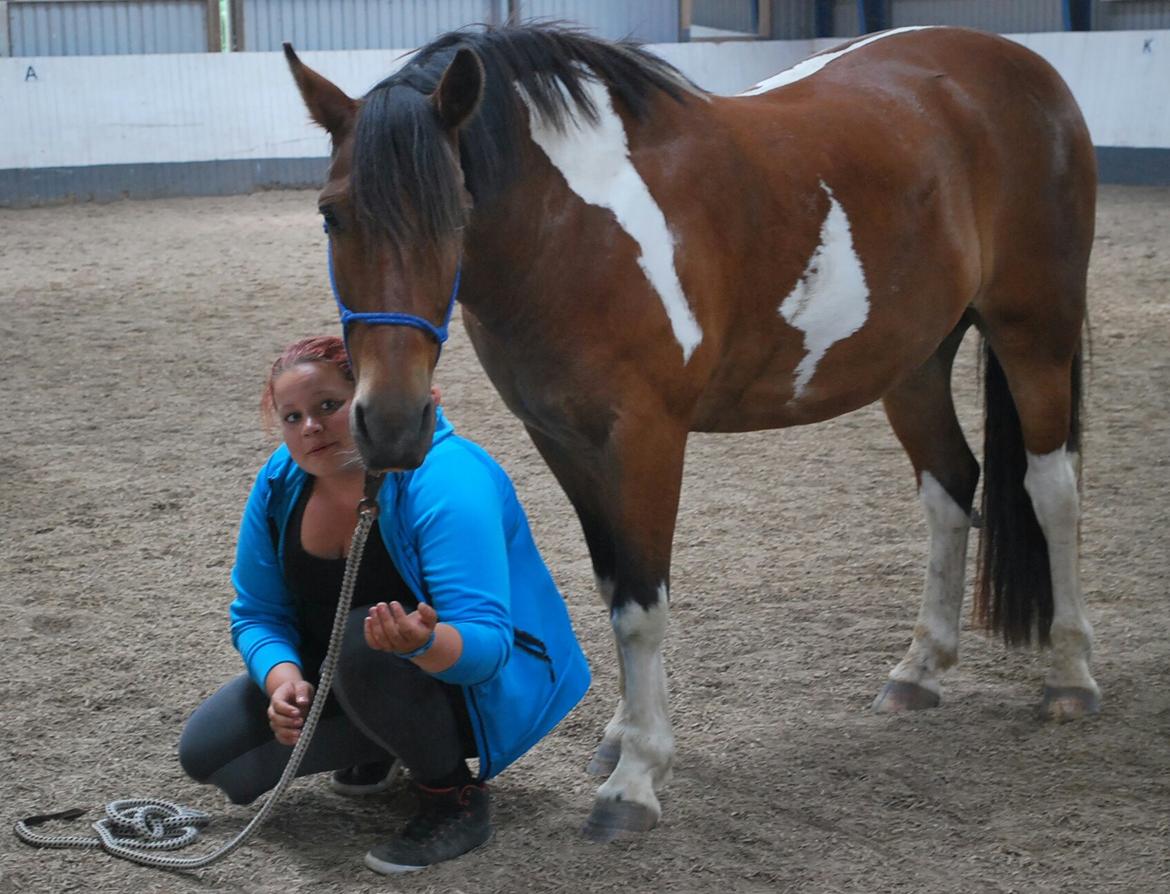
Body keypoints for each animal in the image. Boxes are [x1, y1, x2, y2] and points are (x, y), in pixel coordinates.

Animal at [283, 24, 1095, 842]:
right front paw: (622, 738)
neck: (571, 228)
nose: (391, 424)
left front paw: (636, 781)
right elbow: (614, 585)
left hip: (1034, 334)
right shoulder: (563, 440)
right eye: (331, 215)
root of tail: (1021, 65)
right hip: (917, 361)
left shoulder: (645, 437)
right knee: (950, 488)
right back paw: (919, 670)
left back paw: (1070, 679)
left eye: (456, 212)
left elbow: (642, 606)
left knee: (1051, 488)